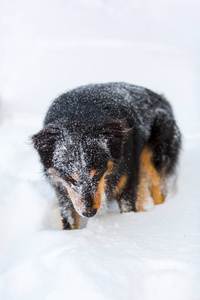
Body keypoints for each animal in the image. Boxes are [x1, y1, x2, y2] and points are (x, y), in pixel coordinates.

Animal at [31, 82, 181, 230]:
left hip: (153, 156)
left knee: (157, 187)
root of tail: (161, 98)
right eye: (70, 177)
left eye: (97, 173)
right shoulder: (64, 191)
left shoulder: (128, 182)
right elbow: (69, 220)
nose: (89, 212)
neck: (78, 114)